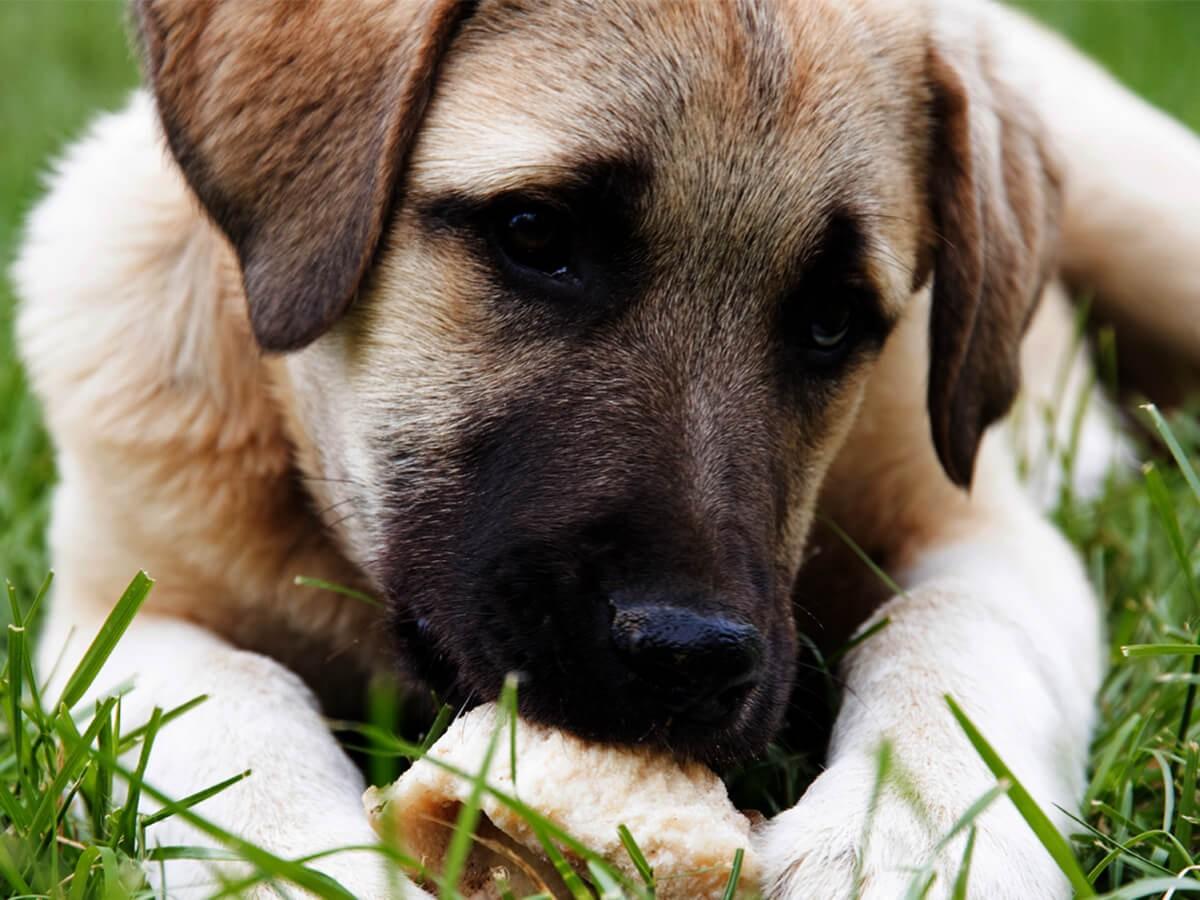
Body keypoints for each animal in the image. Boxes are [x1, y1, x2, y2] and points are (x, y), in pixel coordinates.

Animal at [9, 0, 1200, 897]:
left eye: (832, 321)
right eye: (536, 235)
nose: (688, 656)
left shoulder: (979, 526)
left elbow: (955, 647)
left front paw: (912, 846)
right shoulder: (122, 609)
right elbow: (230, 708)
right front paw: (306, 866)